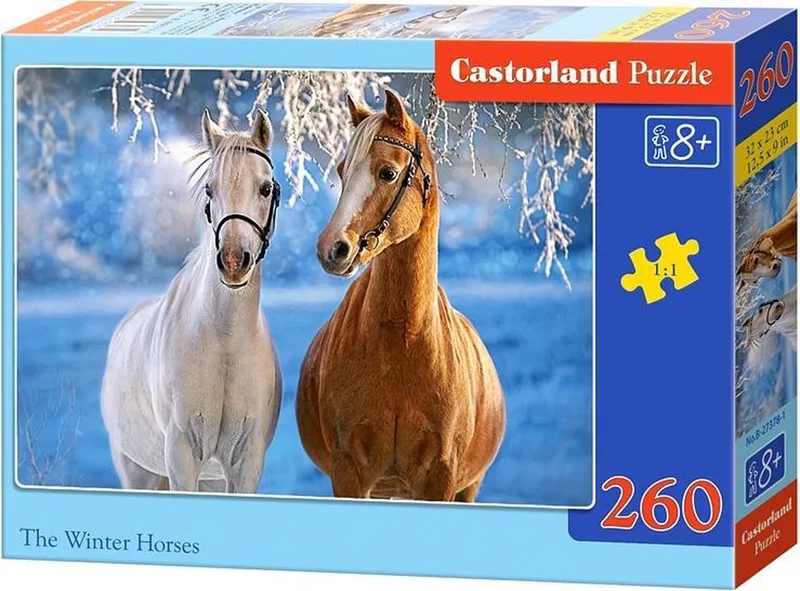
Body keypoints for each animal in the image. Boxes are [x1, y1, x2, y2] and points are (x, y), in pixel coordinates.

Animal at [101, 109, 282, 493]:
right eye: (210, 189)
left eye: (265, 188)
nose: (233, 261)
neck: (225, 345)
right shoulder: (182, 456)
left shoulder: (245, 463)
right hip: (137, 472)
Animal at [296, 90, 506, 502]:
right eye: (342, 171)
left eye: (388, 173)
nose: (332, 249)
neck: (401, 341)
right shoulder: (349, 474)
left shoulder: (441, 478)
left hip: (468, 487)